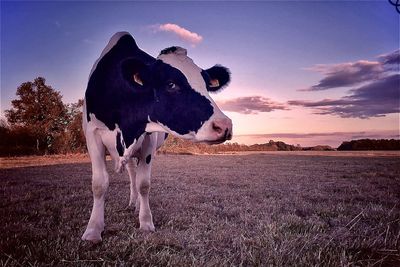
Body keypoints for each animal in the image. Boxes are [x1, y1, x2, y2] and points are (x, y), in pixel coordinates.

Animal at [81, 31, 231, 243]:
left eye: (206, 85)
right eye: (171, 84)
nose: (224, 125)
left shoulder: (148, 139)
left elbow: (143, 184)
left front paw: (145, 222)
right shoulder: (92, 134)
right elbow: (99, 184)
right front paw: (93, 229)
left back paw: (136, 205)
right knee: (131, 172)